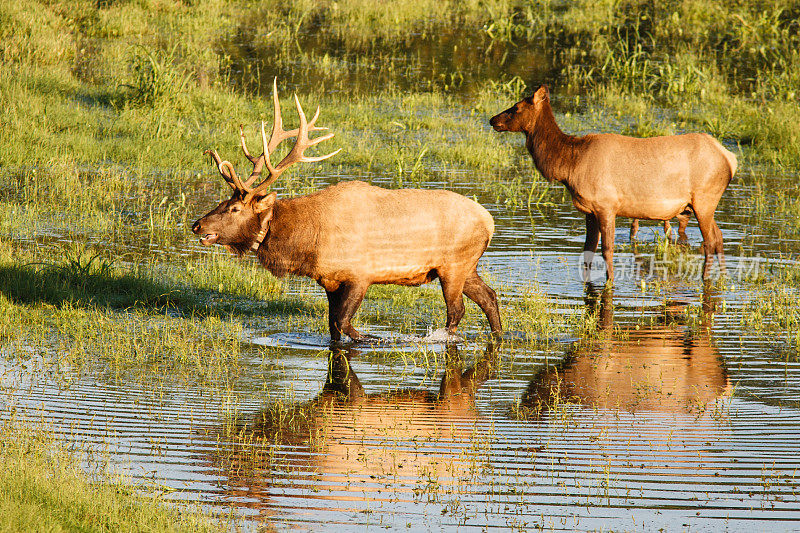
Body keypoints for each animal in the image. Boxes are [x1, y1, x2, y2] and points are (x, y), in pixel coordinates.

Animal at [192, 79, 500, 340]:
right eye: (222, 202)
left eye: (234, 208)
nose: (197, 225)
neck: (306, 243)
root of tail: (490, 222)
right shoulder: (329, 280)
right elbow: (333, 327)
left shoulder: (360, 275)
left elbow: (345, 324)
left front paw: (375, 340)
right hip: (466, 266)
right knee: (489, 297)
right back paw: (498, 336)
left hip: (454, 265)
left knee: (456, 311)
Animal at [488, 85, 736, 280]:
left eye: (515, 107)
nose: (492, 120)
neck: (569, 164)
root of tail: (729, 159)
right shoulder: (589, 210)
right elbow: (587, 249)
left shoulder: (606, 206)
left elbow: (607, 250)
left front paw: (610, 282)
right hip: (703, 204)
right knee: (719, 237)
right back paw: (723, 277)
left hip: (704, 199)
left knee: (709, 241)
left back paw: (706, 278)